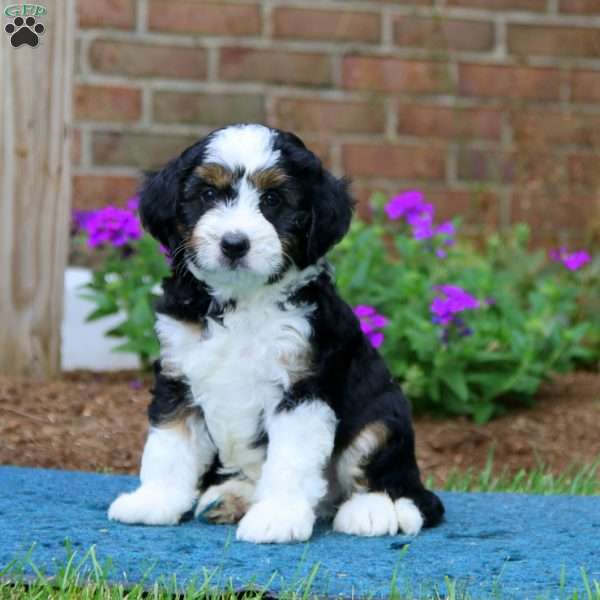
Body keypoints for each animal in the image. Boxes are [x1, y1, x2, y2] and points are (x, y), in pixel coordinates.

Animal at [109, 124, 446, 540]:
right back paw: (232, 497)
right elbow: (168, 446)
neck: (241, 299)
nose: (234, 243)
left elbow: (290, 460)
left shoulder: (300, 389)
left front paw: (277, 517)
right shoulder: (178, 378)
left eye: (272, 199)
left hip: (382, 415)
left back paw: (370, 512)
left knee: (392, 482)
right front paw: (153, 502)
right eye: (208, 195)